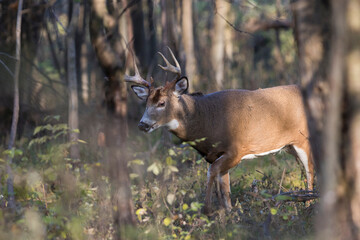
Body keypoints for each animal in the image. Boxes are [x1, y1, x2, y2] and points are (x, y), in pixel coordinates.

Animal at [125, 47, 314, 214]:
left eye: (162, 103)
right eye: (146, 103)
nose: (142, 124)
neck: (207, 120)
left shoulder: (236, 149)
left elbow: (212, 172)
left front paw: (208, 210)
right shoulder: (217, 154)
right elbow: (225, 186)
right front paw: (229, 213)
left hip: (303, 139)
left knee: (310, 170)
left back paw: (308, 204)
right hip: (289, 146)